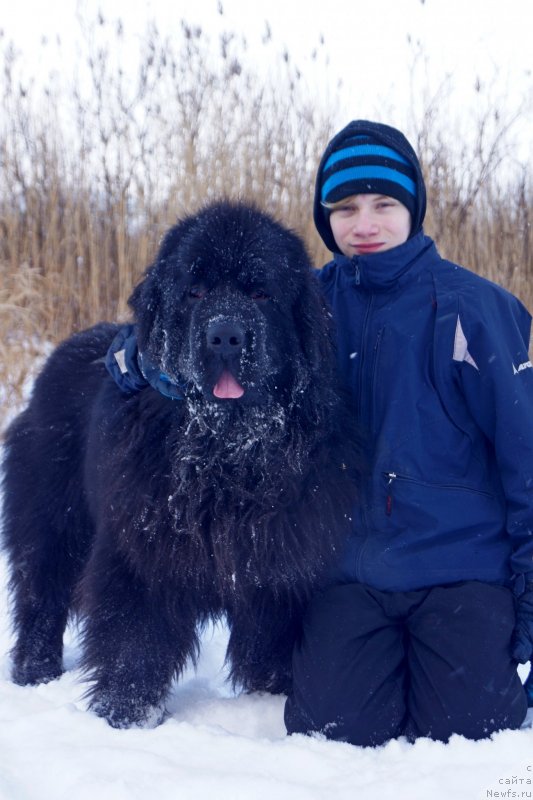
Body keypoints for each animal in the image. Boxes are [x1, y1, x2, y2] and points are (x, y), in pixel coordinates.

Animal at [3, 202, 358, 732]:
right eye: (195, 291)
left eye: (260, 292)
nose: (225, 335)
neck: (227, 452)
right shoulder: (141, 547)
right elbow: (135, 637)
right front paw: (127, 714)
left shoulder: (279, 560)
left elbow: (272, 637)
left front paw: (272, 696)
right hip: (50, 515)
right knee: (40, 590)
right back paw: (35, 670)